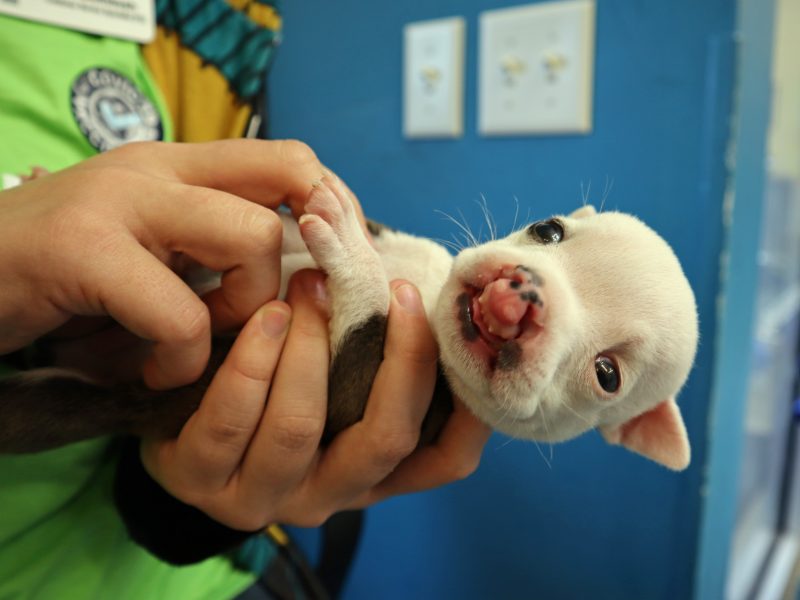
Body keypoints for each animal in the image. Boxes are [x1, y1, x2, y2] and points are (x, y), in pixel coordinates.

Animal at [0, 175, 692, 468]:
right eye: (548, 230)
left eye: (607, 375)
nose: (519, 295)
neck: (424, 293)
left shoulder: (350, 399)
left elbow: (373, 313)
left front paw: (354, 255)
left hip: (63, 401)